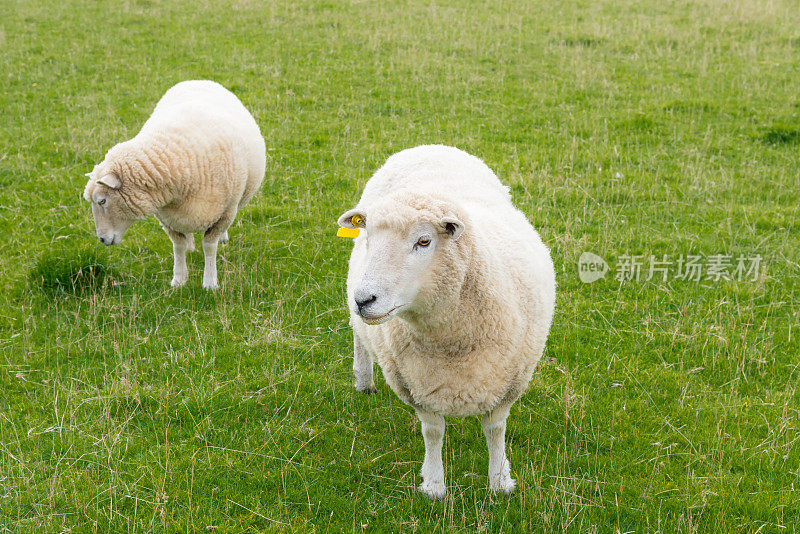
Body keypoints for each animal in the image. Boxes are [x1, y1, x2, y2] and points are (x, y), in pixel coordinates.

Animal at [83, 80, 268, 292]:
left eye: (102, 201)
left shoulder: (225, 212)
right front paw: (179, 280)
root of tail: (197, 80)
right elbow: (178, 247)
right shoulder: (167, 218)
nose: (102, 239)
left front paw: (210, 283)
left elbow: (209, 246)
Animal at [334, 144, 552, 500]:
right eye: (369, 238)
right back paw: (364, 379)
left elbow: (495, 429)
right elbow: (433, 432)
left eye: (424, 241)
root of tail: (429, 146)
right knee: (359, 336)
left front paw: (499, 482)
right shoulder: (415, 384)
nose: (363, 300)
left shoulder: (508, 381)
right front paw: (435, 485)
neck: (450, 338)